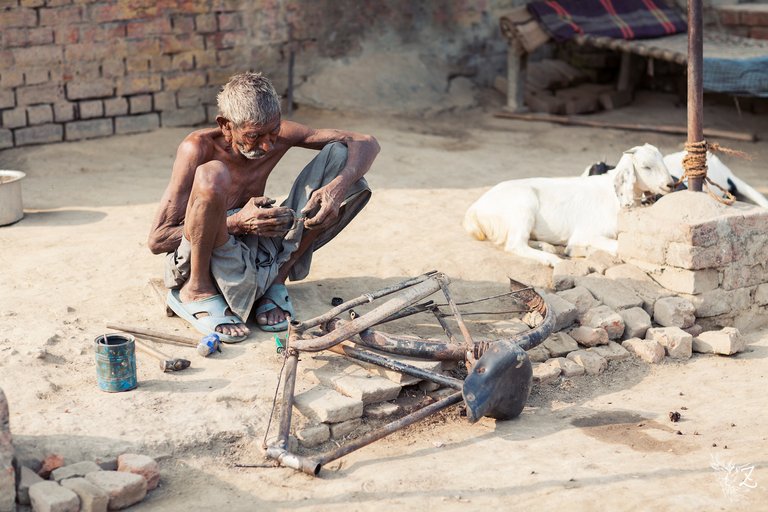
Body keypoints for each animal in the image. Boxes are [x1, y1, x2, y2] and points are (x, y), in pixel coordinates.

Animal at [462, 142, 672, 266]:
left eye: (663, 162)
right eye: (646, 166)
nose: (670, 184)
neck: (613, 194)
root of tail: (475, 209)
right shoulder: (586, 233)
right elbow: (617, 246)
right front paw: (577, 250)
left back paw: (547, 247)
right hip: (521, 208)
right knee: (514, 244)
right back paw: (552, 259)